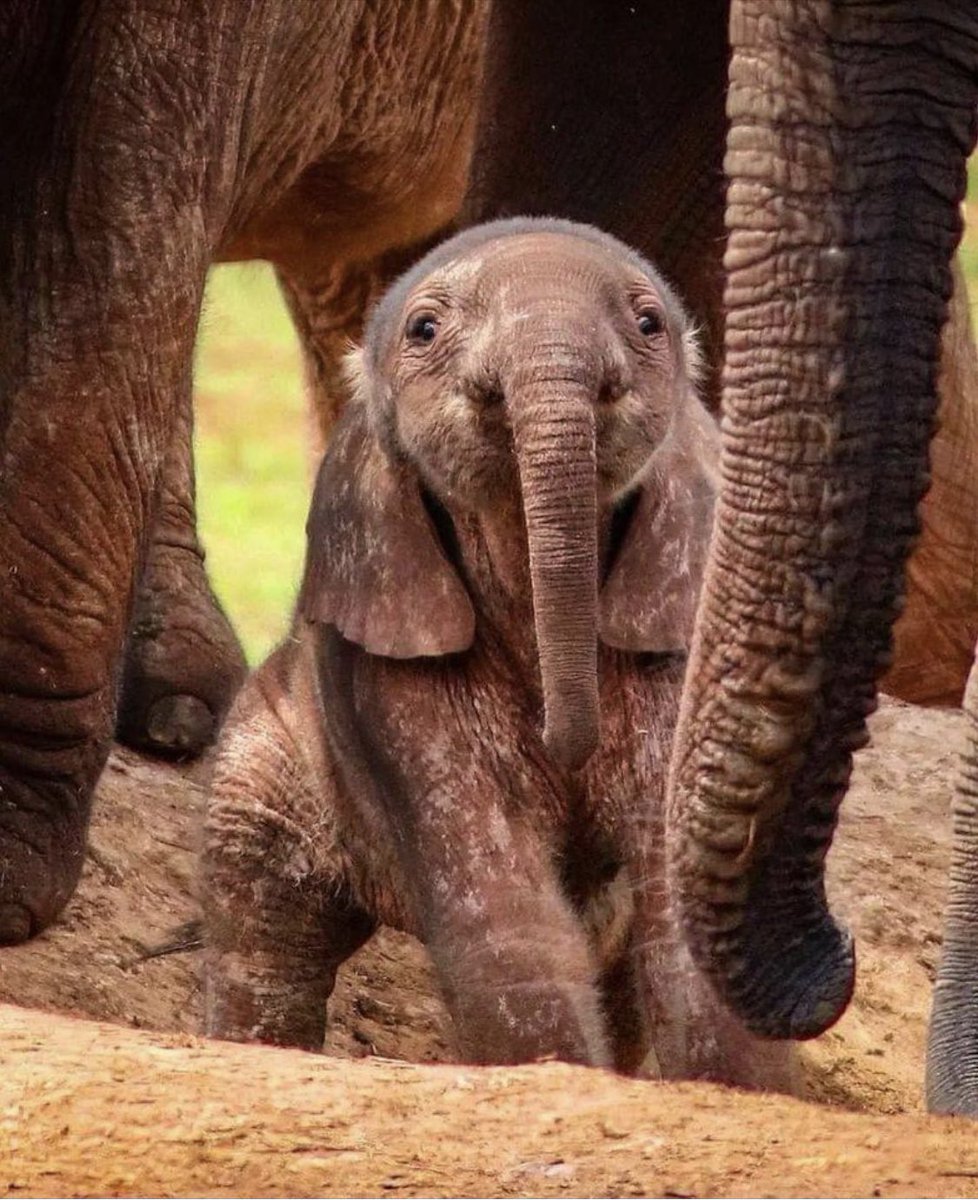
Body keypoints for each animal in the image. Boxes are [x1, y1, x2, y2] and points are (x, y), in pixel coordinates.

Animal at [205, 216, 796, 1089]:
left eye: (649, 323)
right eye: (424, 331)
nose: (567, 738)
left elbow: (676, 894)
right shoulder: (391, 689)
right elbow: (503, 906)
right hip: (263, 768)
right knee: (266, 942)